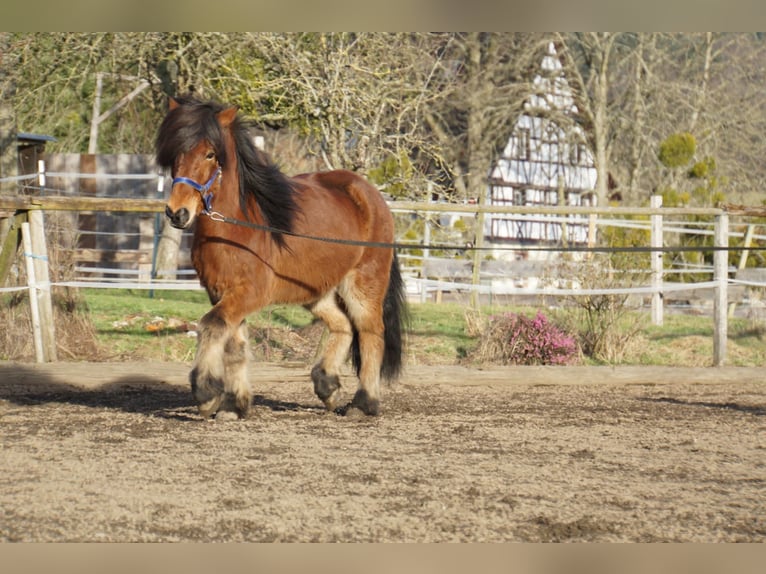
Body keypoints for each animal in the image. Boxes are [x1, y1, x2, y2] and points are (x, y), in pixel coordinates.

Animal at [157, 97, 408, 424]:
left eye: (210, 153)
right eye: (175, 153)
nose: (177, 213)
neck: (238, 229)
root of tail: (371, 196)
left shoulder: (249, 294)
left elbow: (212, 326)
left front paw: (206, 394)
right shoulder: (221, 293)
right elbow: (234, 345)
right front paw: (234, 405)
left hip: (363, 284)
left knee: (370, 333)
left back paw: (364, 403)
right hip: (317, 291)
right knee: (343, 325)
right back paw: (327, 386)